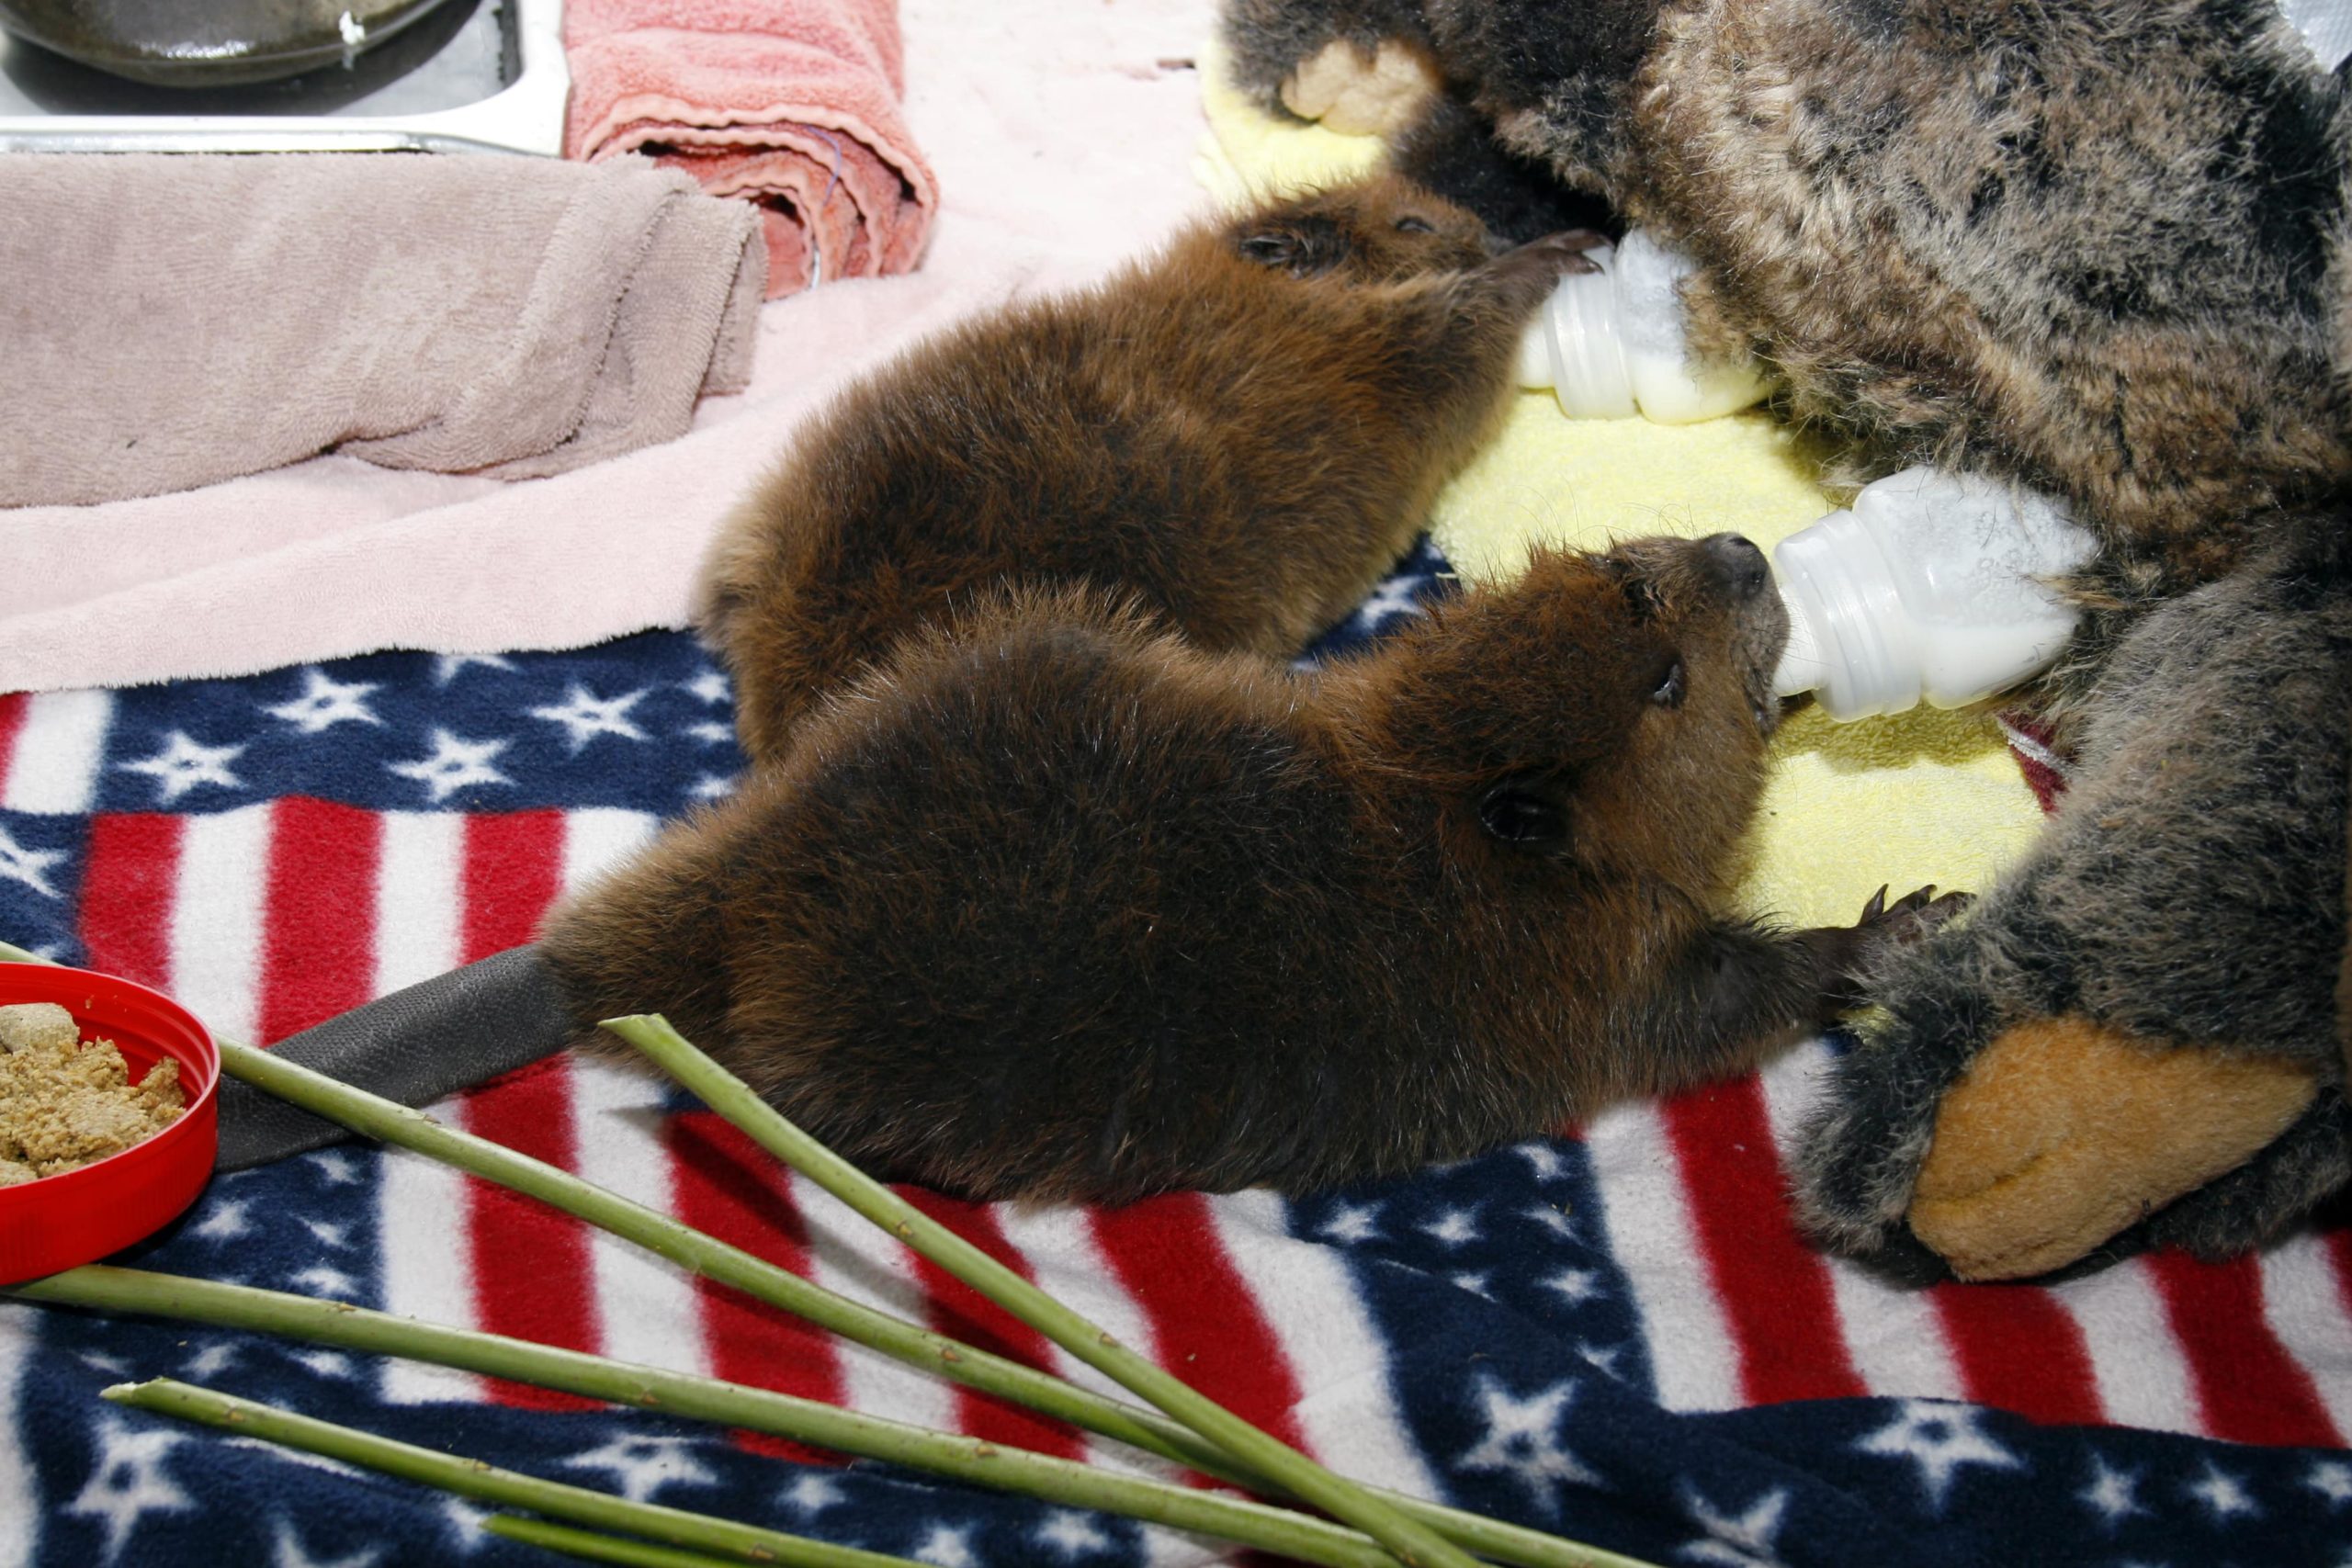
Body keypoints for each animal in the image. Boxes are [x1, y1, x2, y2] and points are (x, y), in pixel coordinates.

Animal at [540, 533, 1956, 1213]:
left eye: (1625, 576)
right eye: (1661, 678)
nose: (1743, 552)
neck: (1441, 811)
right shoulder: (1591, 981)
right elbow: (1719, 1005)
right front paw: (1899, 927)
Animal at [695, 177, 1609, 766]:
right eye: (1414, 224)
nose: (1493, 234)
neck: (1262, 313)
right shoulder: (1372, 362)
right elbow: (1461, 335)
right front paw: (1558, 253)